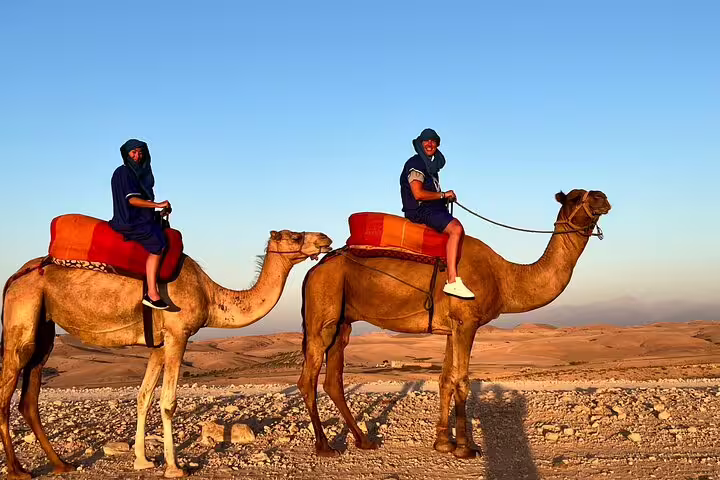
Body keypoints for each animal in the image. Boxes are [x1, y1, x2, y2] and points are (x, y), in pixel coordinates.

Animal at [0, 229, 332, 479]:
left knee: (29, 395)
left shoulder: (158, 346)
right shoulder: (177, 336)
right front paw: (174, 466)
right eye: (294, 235)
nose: (324, 238)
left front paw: (143, 461)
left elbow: (144, 397)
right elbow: (168, 402)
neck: (210, 295)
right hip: (23, 315)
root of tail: (14, 276)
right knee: (8, 386)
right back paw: (18, 470)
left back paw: (61, 464)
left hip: (44, 329)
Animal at [298, 189, 611, 458]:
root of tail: (316, 267)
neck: (504, 278)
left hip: (343, 322)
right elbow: (462, 380)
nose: (603, 197)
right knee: (308, 379)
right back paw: (324, 446)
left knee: (333, 380)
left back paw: (364, 440)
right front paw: (465, 447)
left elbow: (445, 379)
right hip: (323, 311)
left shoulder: (452, 327)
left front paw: (442, 442)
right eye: (574, 197)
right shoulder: (467, 321)